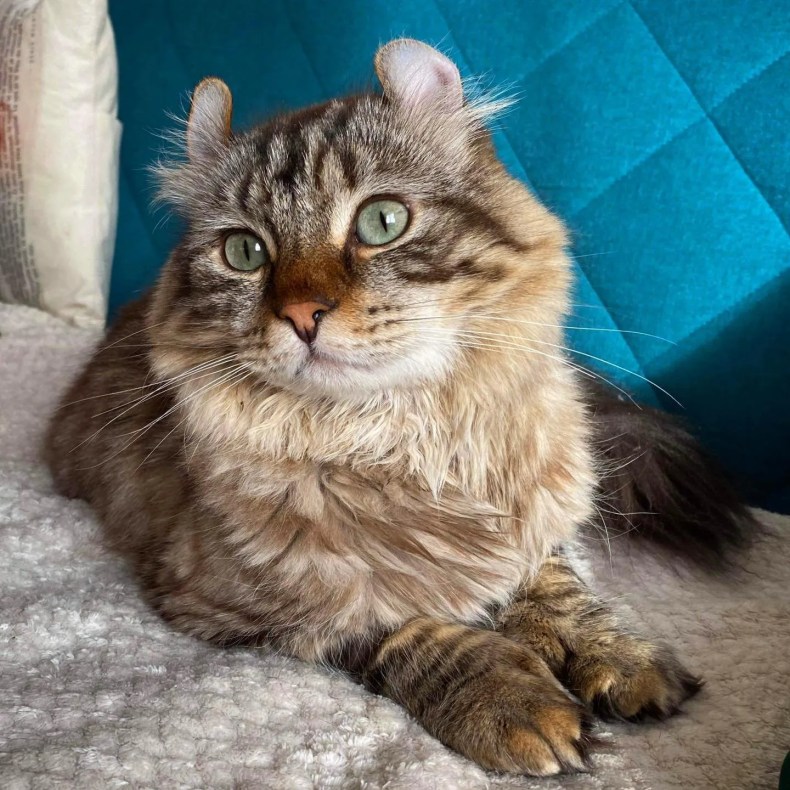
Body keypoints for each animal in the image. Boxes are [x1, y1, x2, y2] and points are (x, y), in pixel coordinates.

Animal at [46, 40, 752, 776]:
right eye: (245, 252)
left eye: (381, 222)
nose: (302, 315)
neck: (411, 437)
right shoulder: (254, 607)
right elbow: (410, 632)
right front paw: (513, 700)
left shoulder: (535, 521)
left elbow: (557, 587)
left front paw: (616, 655)